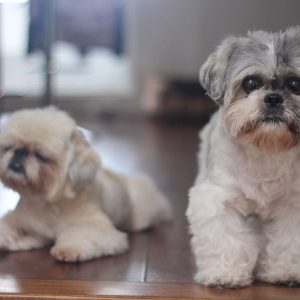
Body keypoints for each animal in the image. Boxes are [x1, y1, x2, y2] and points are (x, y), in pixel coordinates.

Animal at [0, 106, 171, 262]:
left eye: (41, 155)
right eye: (8, 147)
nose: (19, 152)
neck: (48, 205)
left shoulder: (97, 229)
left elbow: (81, 235)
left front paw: (69, 249)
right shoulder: (20, 222)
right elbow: (10, 228)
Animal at [186, 27, 300, 288]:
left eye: (295, 84)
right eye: (250, 83)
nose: (274, 98)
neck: (266, 149)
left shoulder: (293, 204)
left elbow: (289, 241)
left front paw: (286, 271)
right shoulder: (218, 199)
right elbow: (225, 239)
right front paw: (224, 273)